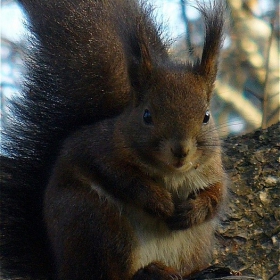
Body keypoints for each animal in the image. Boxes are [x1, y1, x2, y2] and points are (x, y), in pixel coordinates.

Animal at [0, 0, 228, 280]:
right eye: (147, 115)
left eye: (206, 116)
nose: (180, 150)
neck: (171, 174)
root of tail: (61, 269)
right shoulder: (101, 150)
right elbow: (125, 179)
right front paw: (160, 202)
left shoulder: (214, 169)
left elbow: (217, 196)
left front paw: (191, 212)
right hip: (97, 224)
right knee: (111, 272)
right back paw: (151, 271)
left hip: (191, 247)